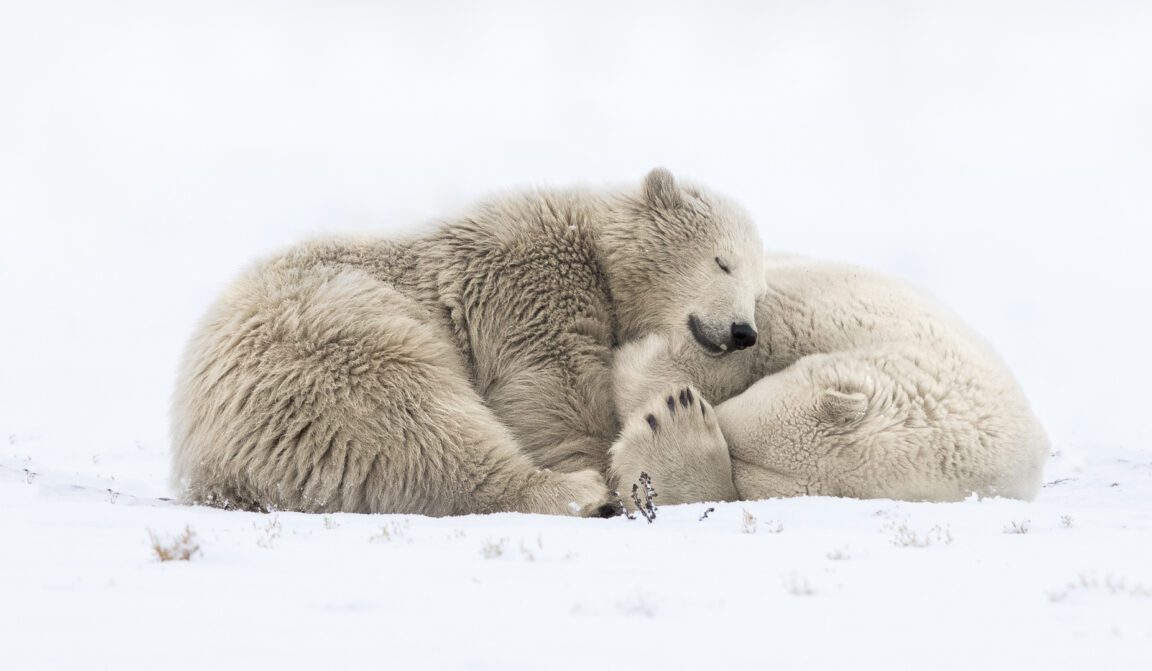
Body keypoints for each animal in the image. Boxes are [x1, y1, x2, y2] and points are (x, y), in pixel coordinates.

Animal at [168, 170, 764, 518]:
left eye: (759, 291)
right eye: (722, 261)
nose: (744, 332)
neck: (588, 241)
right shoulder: (526, 284)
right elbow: (551, 389)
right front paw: (602, 458)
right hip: (330, 347)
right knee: (411, 427)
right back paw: (578, 490)